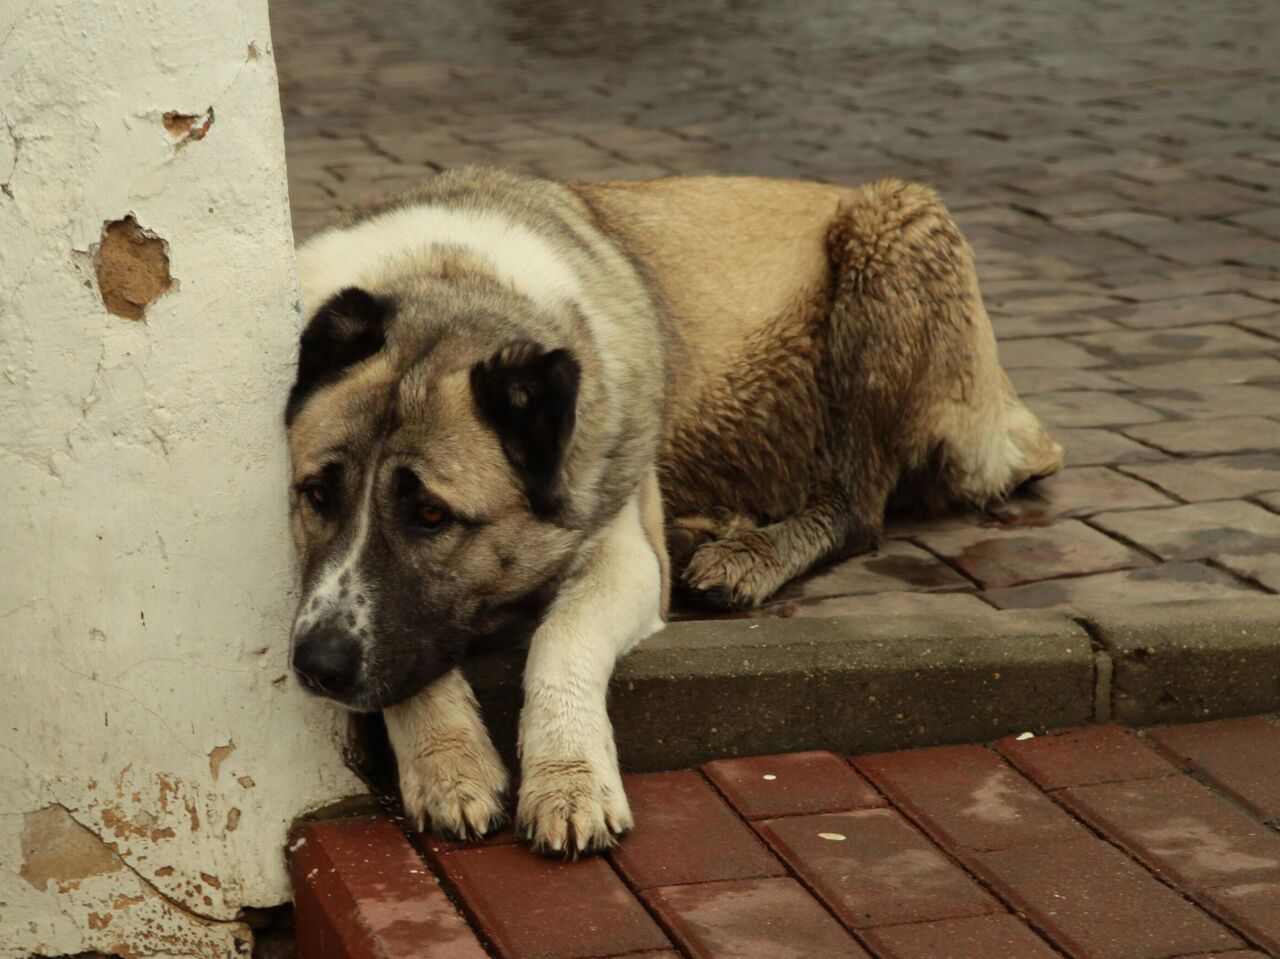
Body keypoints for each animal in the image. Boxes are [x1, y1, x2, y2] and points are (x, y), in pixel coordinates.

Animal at [285, 165, 1064, 855]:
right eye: (317, 495)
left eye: (432, 517)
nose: (315, 667)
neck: (448, 277)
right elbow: (402, 662)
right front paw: (449, 763)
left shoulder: (622, 549)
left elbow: (560, 638)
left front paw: (568, 781)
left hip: (888, 241)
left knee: (858, 509)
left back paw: (747, 556)